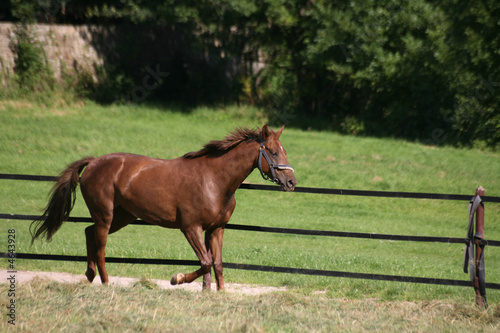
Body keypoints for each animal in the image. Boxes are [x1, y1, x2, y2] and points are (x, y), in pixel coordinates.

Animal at [29, 124, 296, 288]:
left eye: (284, 150)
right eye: (273, 152)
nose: (291, 182)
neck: (214, 179)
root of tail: (94, 162)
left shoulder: (216, 229)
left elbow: (217, 263)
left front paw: (218, 294)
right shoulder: (190, 228)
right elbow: (205, 262)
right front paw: (177, 278)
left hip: (123, 216)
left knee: (88, 232)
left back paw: (90, 274)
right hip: (106, 215)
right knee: (100, 245)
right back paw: (105, 281)